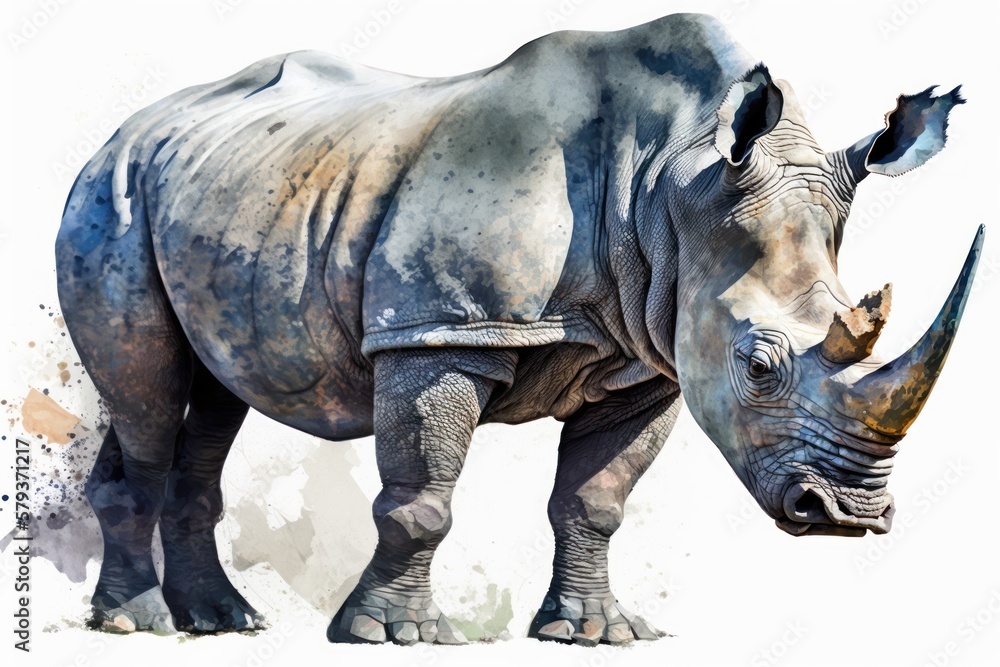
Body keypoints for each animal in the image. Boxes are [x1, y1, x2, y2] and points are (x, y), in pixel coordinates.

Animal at [55, 12, 981, 645]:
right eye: (758, 365)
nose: (846, 516)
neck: (674, 180)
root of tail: (126, 130)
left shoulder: (650, 357)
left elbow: (597, 498)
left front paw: (594, 632)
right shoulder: (440, 331)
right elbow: (422, 495)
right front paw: (395, 636)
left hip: (223, 189)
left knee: (212, 394)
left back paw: (221, 621)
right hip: (112, 193)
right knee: (148, 387)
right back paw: (138, 624)